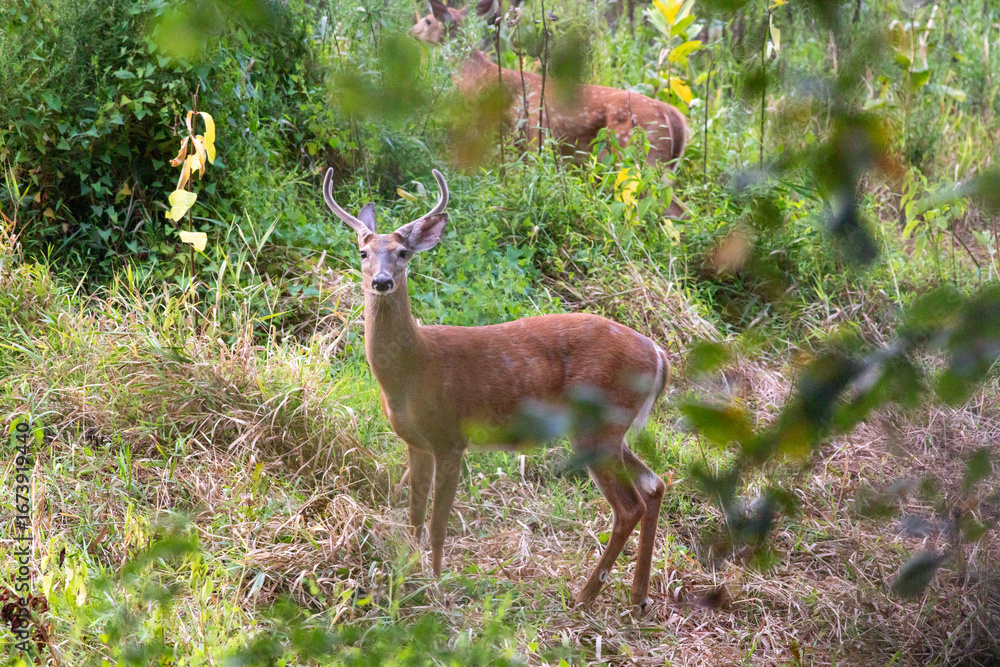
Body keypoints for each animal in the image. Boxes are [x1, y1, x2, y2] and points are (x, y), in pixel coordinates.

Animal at [321, 167, 672, 613]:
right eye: (363, 253)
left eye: (403, 253)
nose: (382, 282)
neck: (413, 369)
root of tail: (658, 355)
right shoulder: (416, 442)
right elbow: (414, 517)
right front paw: (407, 577)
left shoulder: (450, 438)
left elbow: (437, 522)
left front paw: (437, 586)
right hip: (612, 429)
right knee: (655, 485)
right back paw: (638, 597)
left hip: (598, 424)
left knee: (629, 506)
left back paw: (585, 595)